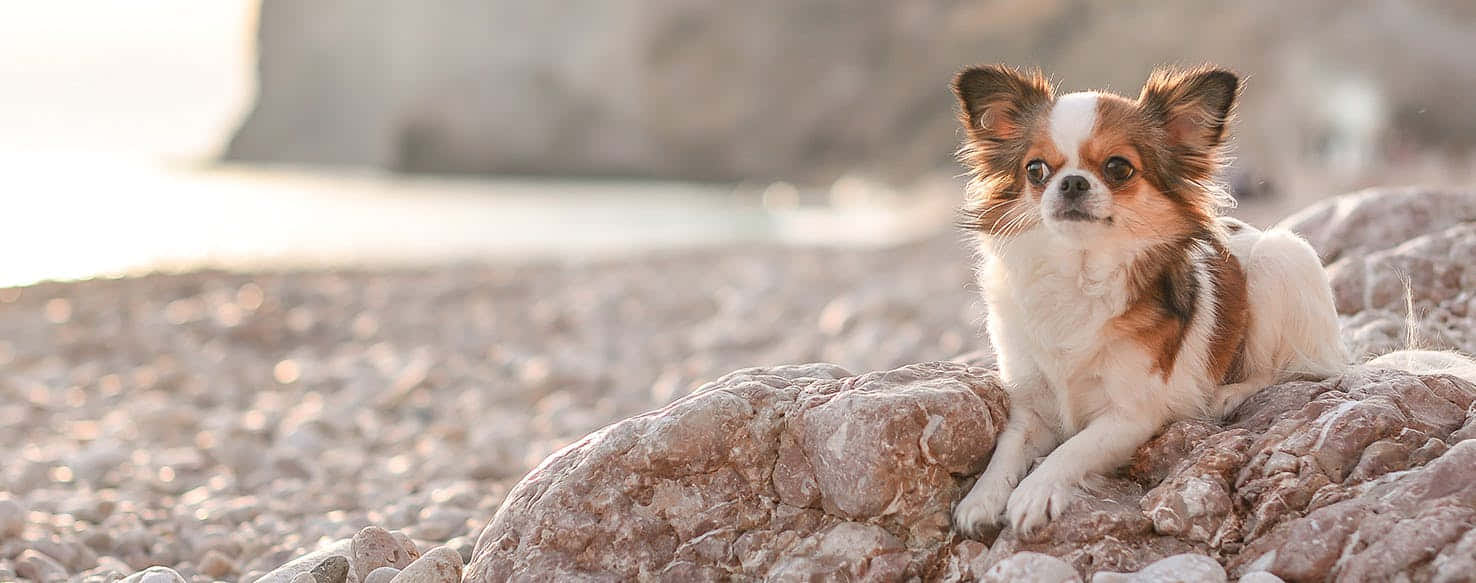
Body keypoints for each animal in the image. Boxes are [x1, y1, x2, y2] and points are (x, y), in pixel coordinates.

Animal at [944, 64, 1476, 543]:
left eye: (1118, 168)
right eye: (1036, 170)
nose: (1072, 182)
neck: (1079, 271)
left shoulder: (1131, 415)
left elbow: (1069, 451)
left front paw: (1034, 493)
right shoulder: (1031, 405)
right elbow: (1007, 447)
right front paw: (981, 499)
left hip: (1280, 259)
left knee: (1287, 372)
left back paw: (1226, 394)